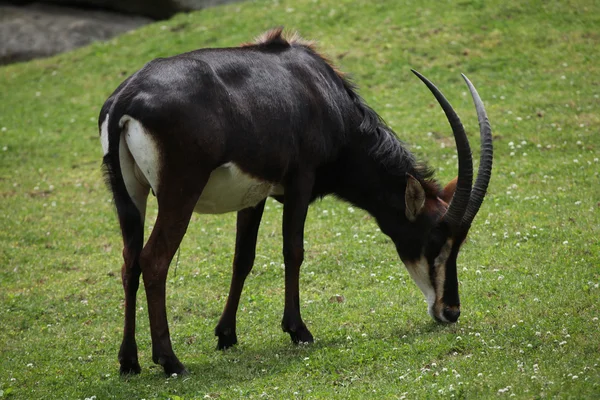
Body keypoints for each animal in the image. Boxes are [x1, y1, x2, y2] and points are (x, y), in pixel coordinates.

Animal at [98, 28, 492, 376]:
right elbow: (294, 251)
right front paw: (298, 330)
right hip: (179, 194)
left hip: (129, 196)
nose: (450, 311)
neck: (321, 91)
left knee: (130, 262)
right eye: (435, 242)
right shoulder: (300, 181)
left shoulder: (253, 196)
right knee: (154, 260)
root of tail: (126, 99)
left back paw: (129, 362)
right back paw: (170, 361)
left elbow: (243, 258)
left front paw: (226, 335)